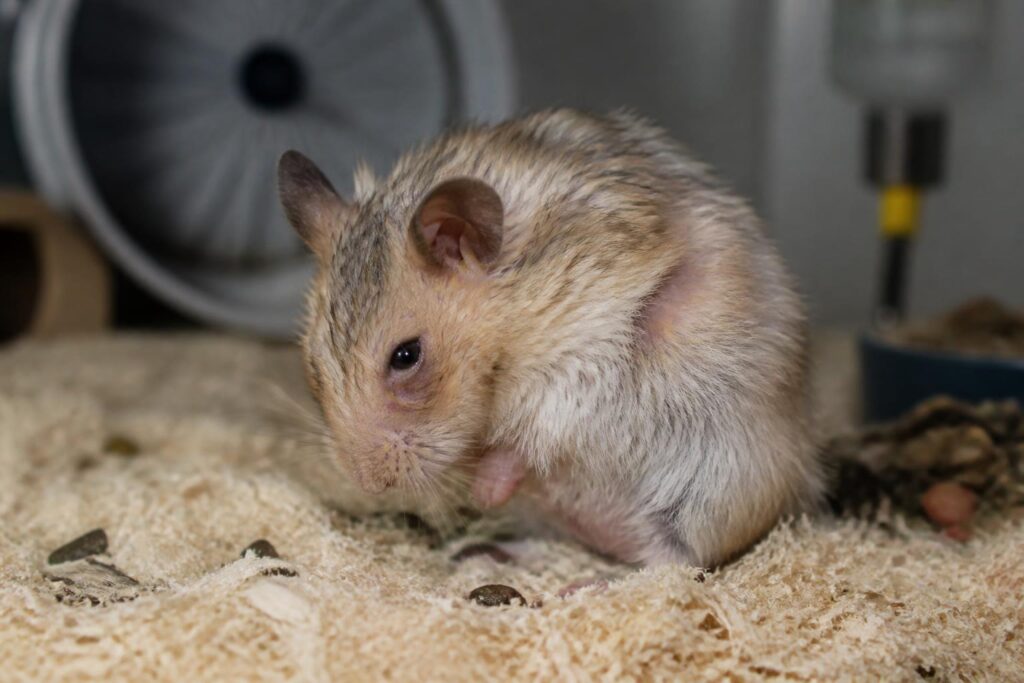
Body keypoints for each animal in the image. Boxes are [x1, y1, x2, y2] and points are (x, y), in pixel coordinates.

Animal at [277, 109, 824, 567]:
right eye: (312, 366)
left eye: (406, 356)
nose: (368, 484)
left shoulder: (590, 349)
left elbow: (533, 430)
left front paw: (484, 488)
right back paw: (497, 552)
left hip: (708, 495)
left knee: (670, 564)